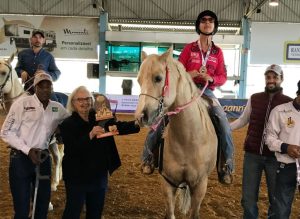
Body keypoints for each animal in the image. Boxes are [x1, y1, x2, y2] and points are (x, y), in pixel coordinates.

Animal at [136, 48, 218, 219]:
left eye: (158, 78)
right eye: (139, 80)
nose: (140, 117)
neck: (188, 139)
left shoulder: (200, 186)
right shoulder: (168, 182)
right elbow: (170, 213)